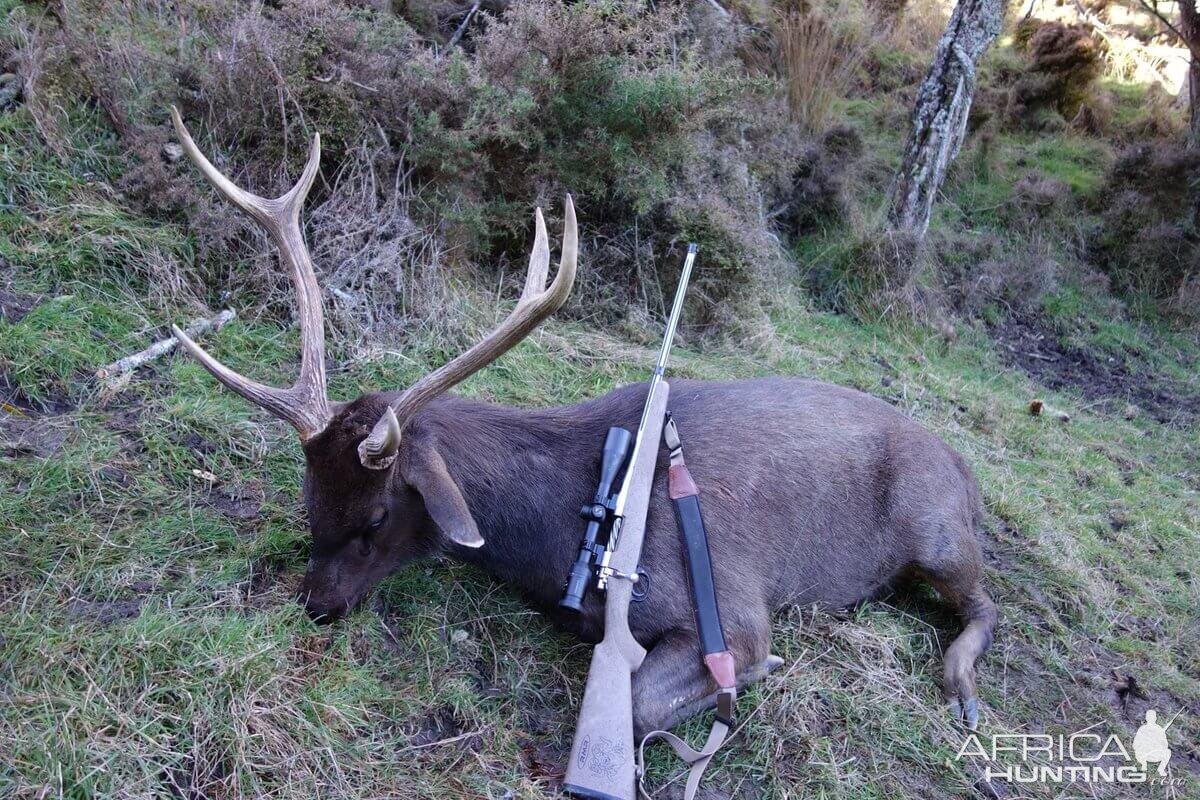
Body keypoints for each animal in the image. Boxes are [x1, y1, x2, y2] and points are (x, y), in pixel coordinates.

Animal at [166, 108, 998, 735]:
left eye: (374, 519)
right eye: (309, 501)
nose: (315, 605)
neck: (557, 527)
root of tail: (965, 467)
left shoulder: (732, 606)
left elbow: (644, 703)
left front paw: (761, 671)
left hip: (937, 529)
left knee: (983, 600)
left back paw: (960, 685)